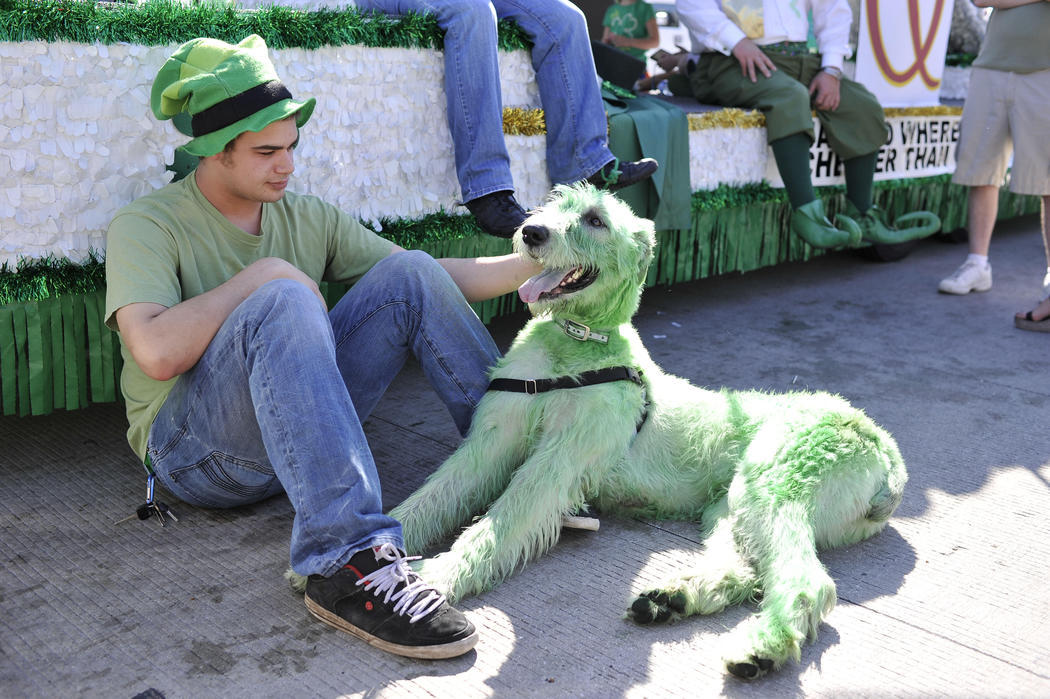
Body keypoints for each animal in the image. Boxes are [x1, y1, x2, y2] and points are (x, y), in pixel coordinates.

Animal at [390, 183, 907, 675]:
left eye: (596, 220)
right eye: (551, 205)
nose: (531, 233)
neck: (577, 342)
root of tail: (887, 454)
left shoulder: (558, 463)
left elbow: (499, 523)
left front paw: (435, 578)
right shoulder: (490, 443)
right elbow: (430, 498)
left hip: (773, 486)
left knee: (809, 582)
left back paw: (763, 647)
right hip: (729, 508)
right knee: (745, 569)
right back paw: (673, 600)